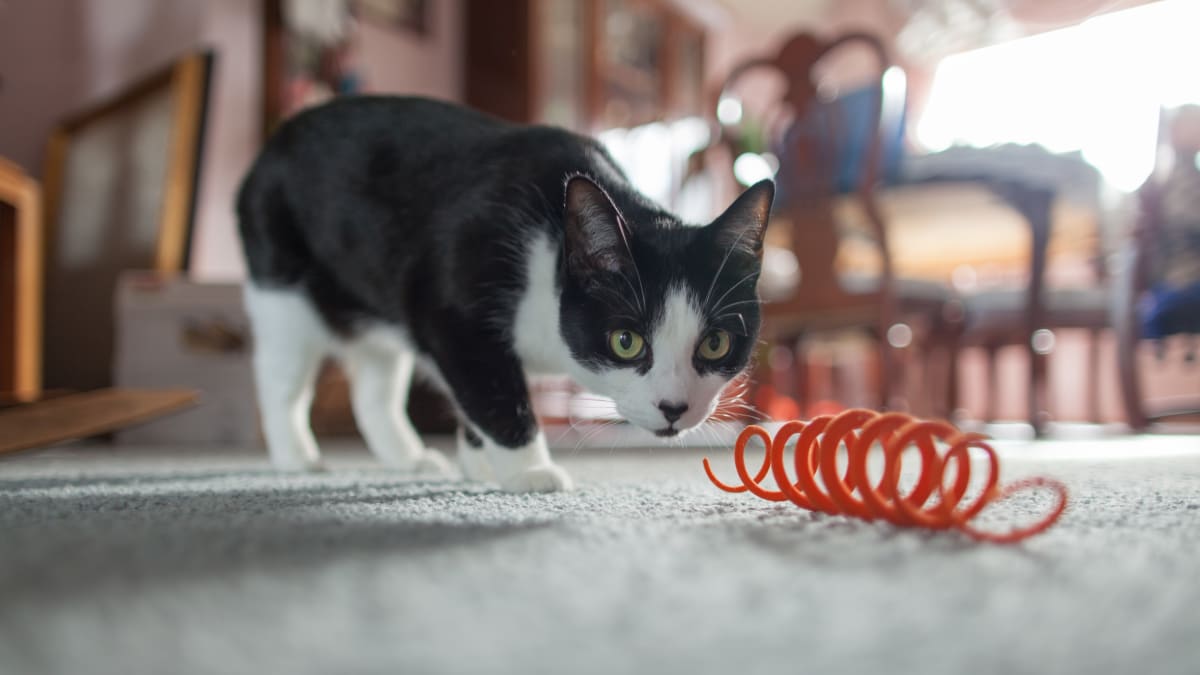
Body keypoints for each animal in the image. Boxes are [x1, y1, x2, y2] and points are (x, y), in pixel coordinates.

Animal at [238, 96, 772, 487]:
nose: (674, 408)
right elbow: (496, 392)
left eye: (716, 343)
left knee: (374, 389)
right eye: (627, 341)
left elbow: (475, 396)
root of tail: (270, 145)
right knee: (280, 379)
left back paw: (410, 459)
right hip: (282, 287)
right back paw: (296, 457)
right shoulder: (453, 313)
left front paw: (480, 464)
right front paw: (528, 472)